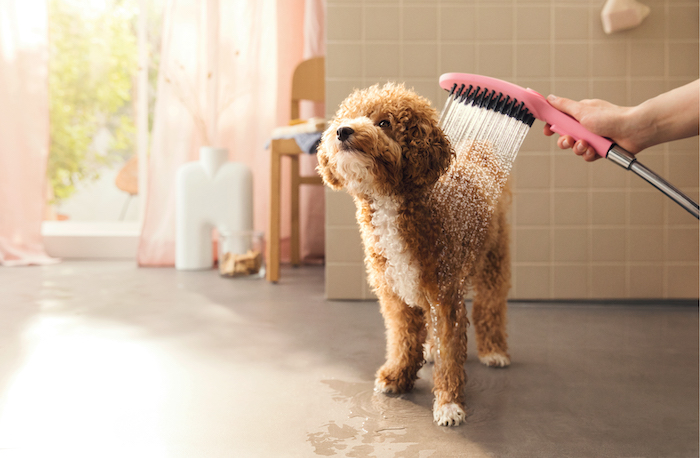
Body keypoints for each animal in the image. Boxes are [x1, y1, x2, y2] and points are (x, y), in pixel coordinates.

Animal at [316, 82, 508, 426]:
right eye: (347, 116)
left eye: (384, 122)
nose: (342, 131)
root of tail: (479, 155)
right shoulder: (395, 295)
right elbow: (403, 339)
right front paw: (397, 377)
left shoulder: (446, 296)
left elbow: (450, 353)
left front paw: (448, 404)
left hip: (492, 263)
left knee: (491, 306)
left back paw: (494, 350)